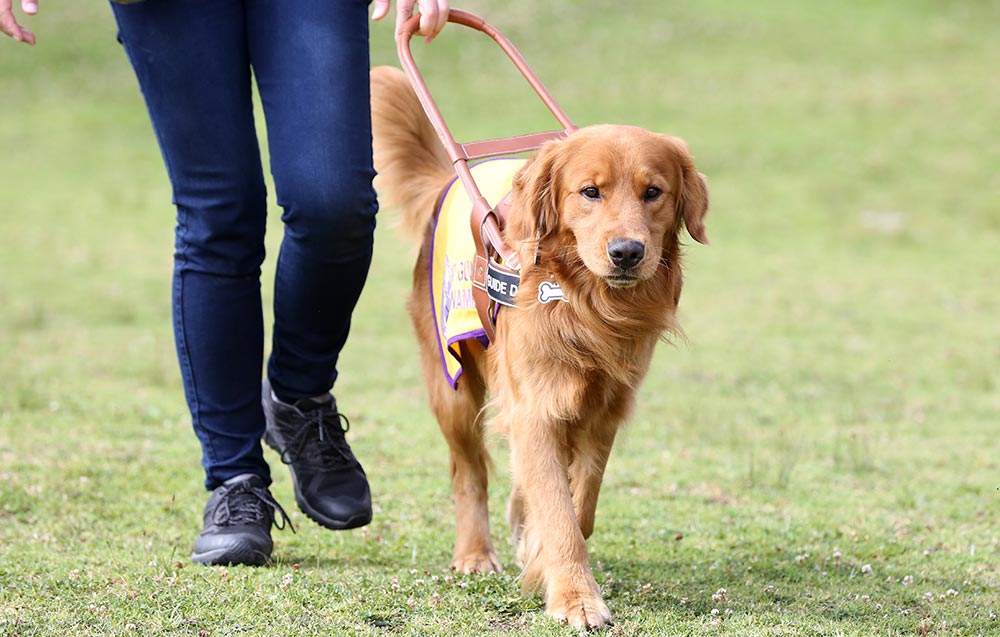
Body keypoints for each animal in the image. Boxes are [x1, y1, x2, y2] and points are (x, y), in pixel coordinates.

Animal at [372, 67, 708, 628]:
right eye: (589, 191)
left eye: (653, 192)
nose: (627, 252)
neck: (586, 307)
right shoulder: (535, 407)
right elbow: (559, 513)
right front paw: (575, 597)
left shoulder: (604, 406)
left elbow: (580, 502)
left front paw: (538, 551)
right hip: (452, 388)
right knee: (469, 472)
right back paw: (474, 553)